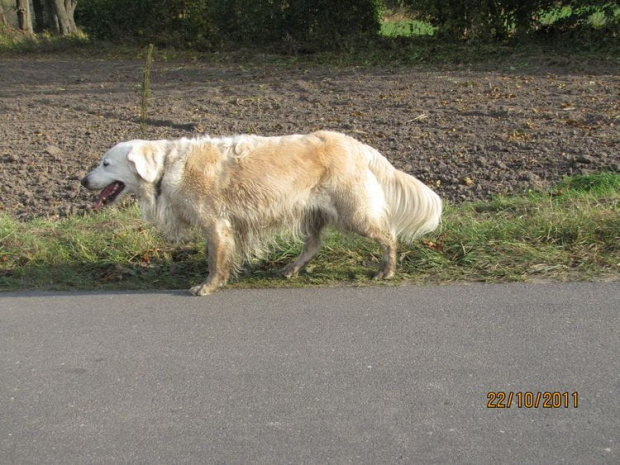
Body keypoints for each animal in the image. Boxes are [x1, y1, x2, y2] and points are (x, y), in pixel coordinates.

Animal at [81, 130, 440, 294]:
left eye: (105, 163)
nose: (83, 180)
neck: (168, 166)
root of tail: (355, 143)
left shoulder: (216, 224)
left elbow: (215, 260)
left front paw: (207, 286)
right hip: (313, 211)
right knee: (313, 245)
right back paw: (290, 269)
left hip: (355, 211)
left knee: (388, 235)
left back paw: (386, 270)